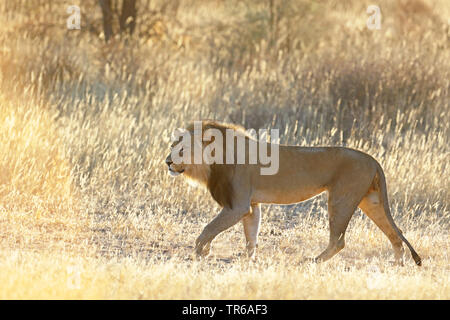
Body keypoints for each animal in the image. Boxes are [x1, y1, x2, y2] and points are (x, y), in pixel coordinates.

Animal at [165, 119, 422, 264]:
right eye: (172, 146)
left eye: (182, 149)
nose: (167, 162)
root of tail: (373, 160)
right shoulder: (251, 206)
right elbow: (251, 236)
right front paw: (248, 260)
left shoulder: (237, 206)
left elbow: (208, 228)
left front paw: (200, 252)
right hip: (371, 201)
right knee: (395, 233)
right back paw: (396, 265)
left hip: (340, 199)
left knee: (338, 241)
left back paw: (313, 261)